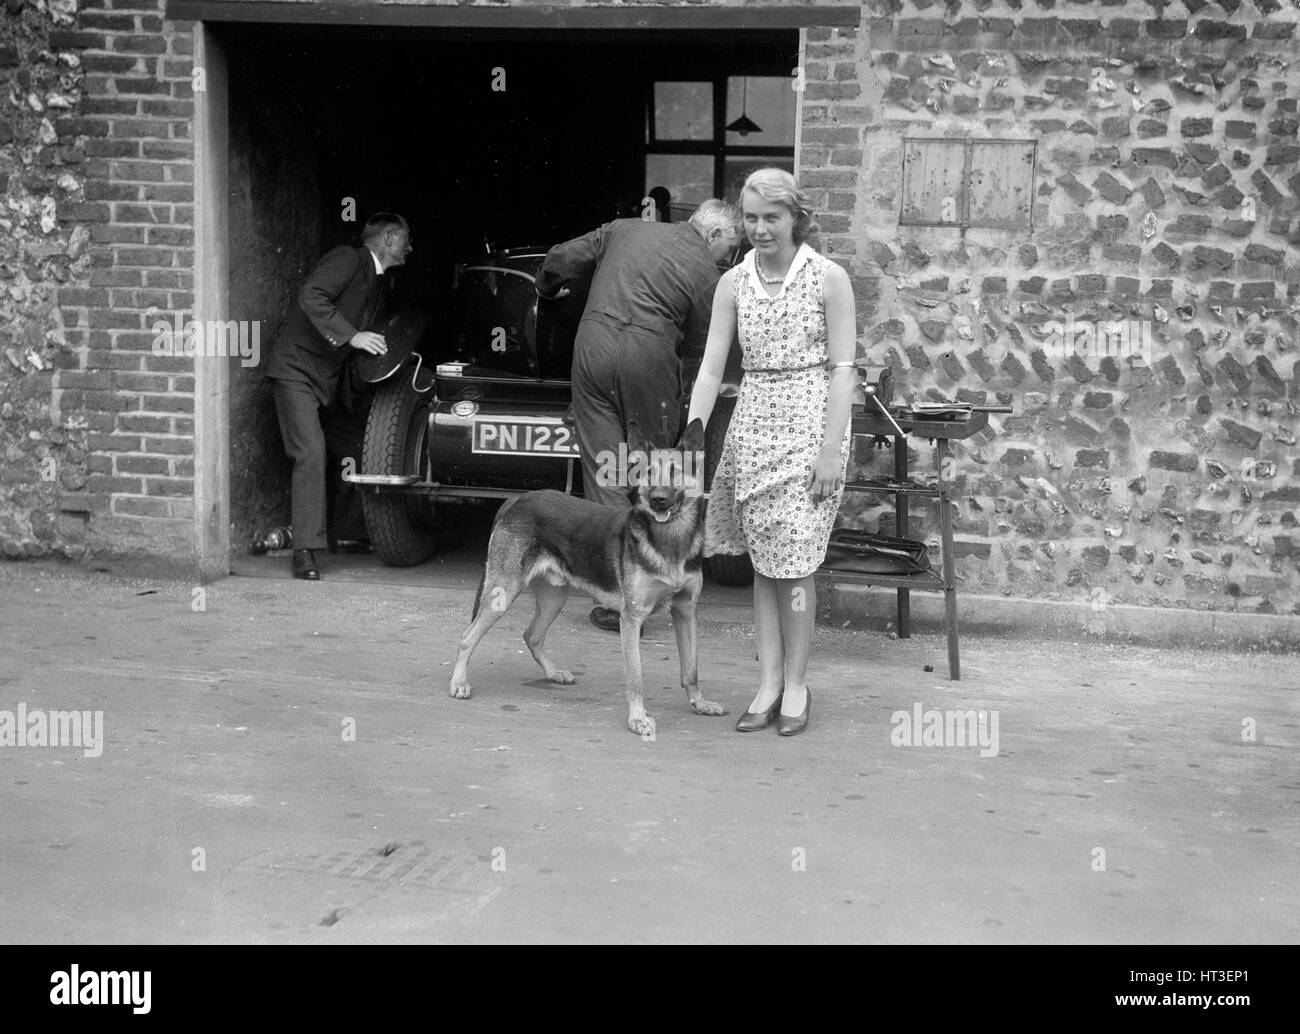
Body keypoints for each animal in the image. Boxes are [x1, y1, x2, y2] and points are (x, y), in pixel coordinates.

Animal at [452, 416, 728, 738]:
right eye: (648, 473)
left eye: (675, 472)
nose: (658, 500)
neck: (670, 538)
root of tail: (517, 500)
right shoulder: (631, 619)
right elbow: (636, 677)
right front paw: (637, 718)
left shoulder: (685, 612)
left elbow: (691, 668)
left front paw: (699, 703)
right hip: (504, 593)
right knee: (467, 637)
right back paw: (458, 683)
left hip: (554, 598)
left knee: (532, 635)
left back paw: (553, 673)